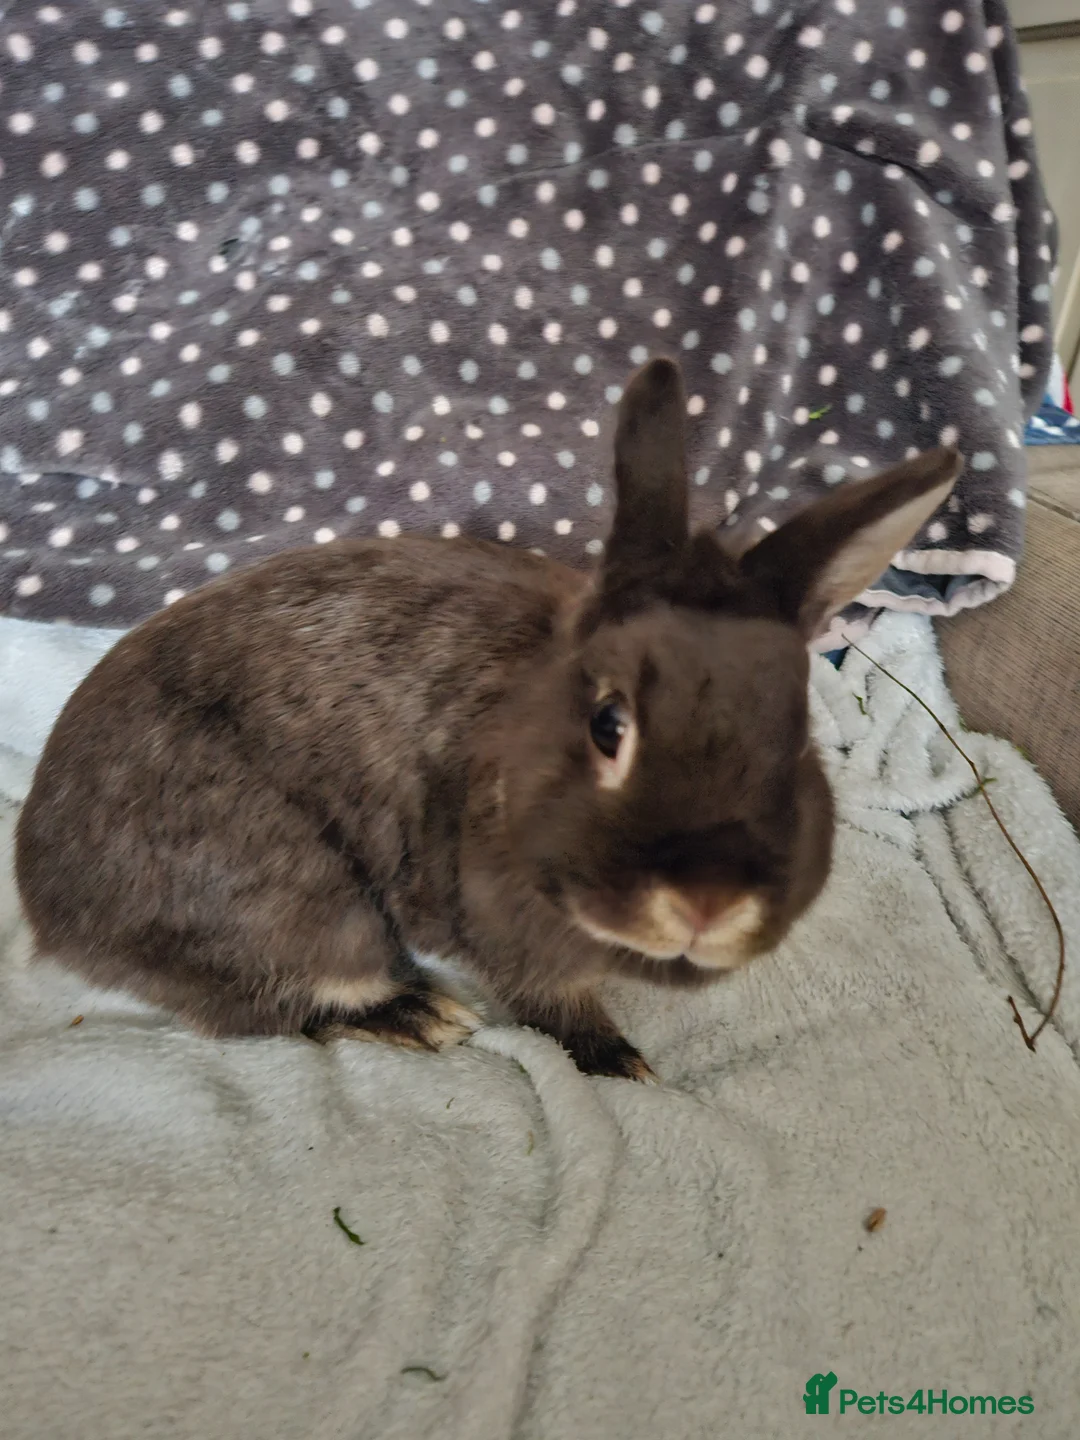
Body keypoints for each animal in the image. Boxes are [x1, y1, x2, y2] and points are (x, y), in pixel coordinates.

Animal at [15, 357, 961, 1080]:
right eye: (608, 725)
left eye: (796, 734)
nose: (708, 901)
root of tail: (43, 898)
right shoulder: (504, 932)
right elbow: (552, 1006)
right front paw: (626, 1068)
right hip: (299, 900)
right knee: (269, 1006)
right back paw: (424, 1017)